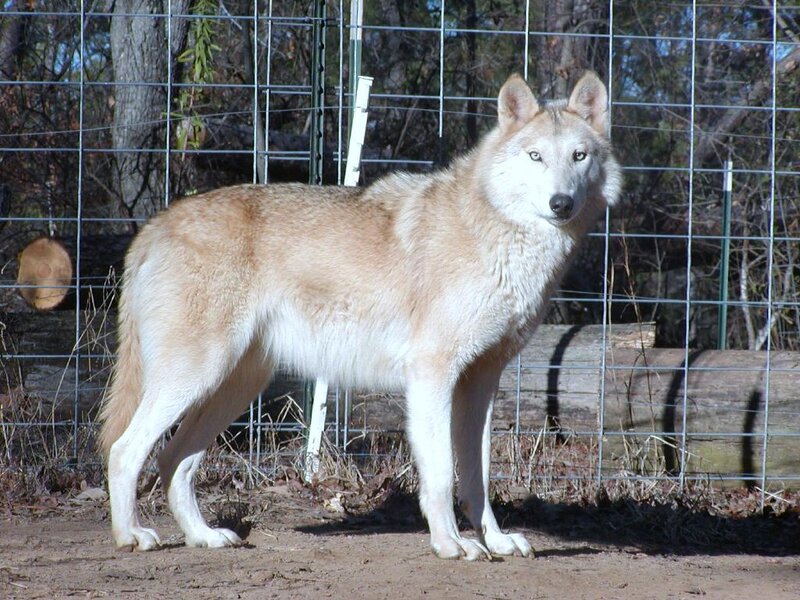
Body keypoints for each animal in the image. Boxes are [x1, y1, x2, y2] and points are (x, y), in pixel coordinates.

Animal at [99, 71, 621, 560]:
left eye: (579, 157)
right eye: (535, 157)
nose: (561, 203)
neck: (497, 233)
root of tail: (155, 225)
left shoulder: (480, 383)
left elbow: (477, 478)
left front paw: (495, 540)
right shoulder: (432, 376)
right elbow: (440, 476)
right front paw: (451, 544)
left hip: (232, 387)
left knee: (175, 459)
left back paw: (203, 536)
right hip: (195, 378)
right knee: (124, 451)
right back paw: (131, 536)